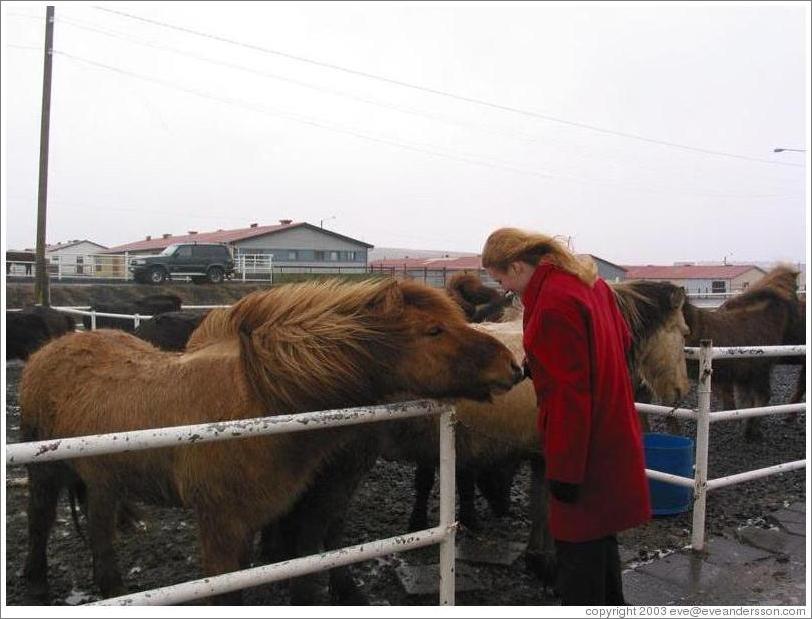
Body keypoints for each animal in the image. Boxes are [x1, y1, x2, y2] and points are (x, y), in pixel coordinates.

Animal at [23, 278, 528, 604]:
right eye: (433, 330)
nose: (513, 365)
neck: (263, 401)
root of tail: (54, 347)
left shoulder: (274, 515)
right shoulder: (222, 527)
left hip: (104, 482)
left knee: (100, 531)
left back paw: (111, 588)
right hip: (44, 471)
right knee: (41, 521)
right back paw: (36, 584)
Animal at [680, 266, 804, 440]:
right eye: (797, 289)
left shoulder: (745, 375)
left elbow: (746, 402)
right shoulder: (759, 371)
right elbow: (761, 399)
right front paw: (752, 430)